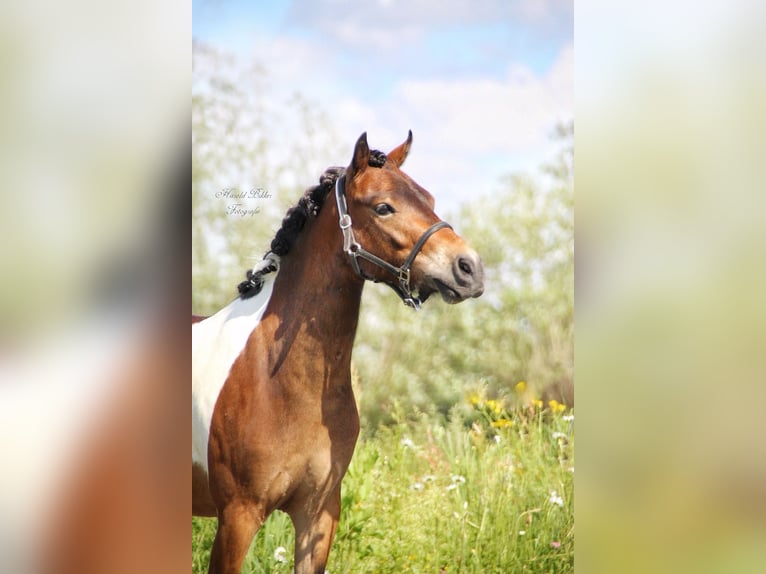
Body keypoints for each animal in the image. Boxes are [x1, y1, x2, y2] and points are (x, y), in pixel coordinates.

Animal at [194, 133, 486, 572]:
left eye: (430, 199)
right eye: (383, 206)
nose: (470, 268)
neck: (278, 379)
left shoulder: (318, 514)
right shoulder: (237, 517)